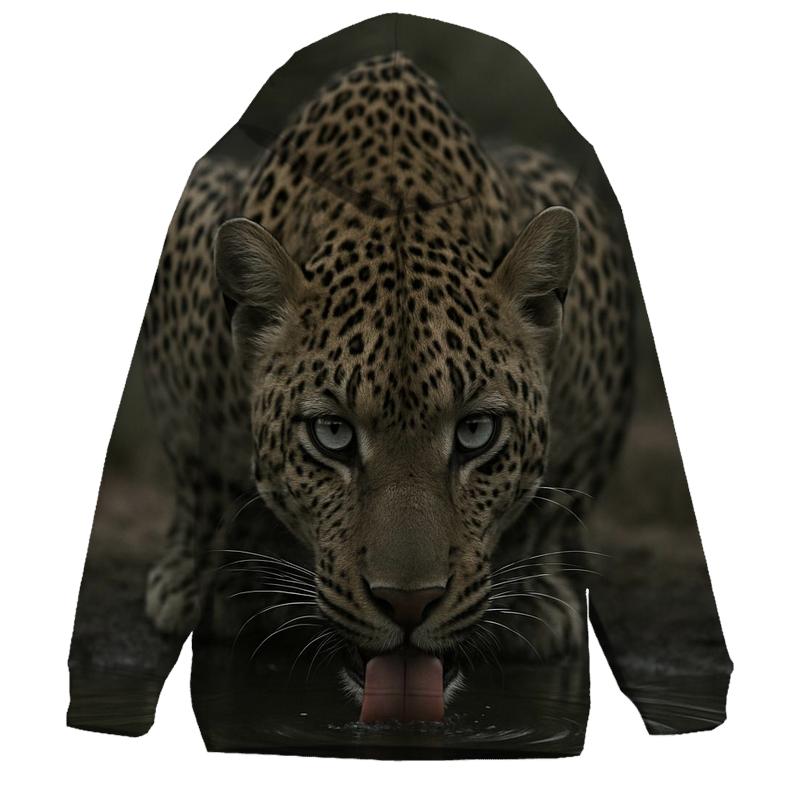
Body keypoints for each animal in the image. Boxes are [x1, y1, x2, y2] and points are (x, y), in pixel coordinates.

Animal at [141, 51, 635, 706]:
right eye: (332, 435)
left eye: (476, 432)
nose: (407, 604)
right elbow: (198, 477)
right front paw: (200, 584)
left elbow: (555, 501)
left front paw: (532, 602)